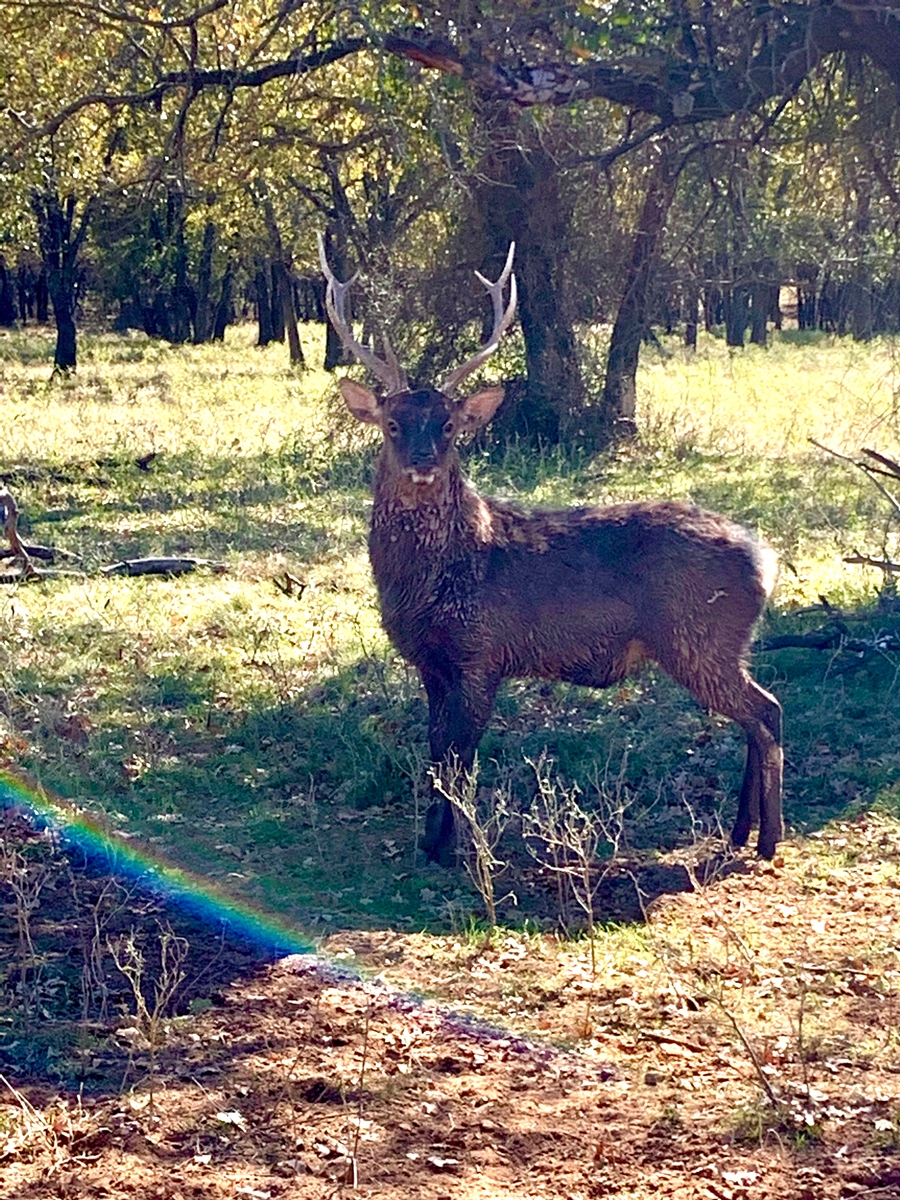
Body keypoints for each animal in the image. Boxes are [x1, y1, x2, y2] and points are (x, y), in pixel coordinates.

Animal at [316, 236, 782, 873]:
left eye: (449, 427)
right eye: (392, 423)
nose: (423, 462)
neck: (432, 582)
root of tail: (767, 561)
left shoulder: (481, 654)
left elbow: (460, 759)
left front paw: (461, 852)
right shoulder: (431, 664)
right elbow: (436, 754)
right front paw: (430, 844)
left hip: (699, 637)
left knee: (767, 713)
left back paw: (770, 840)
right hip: (723, 644)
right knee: (755, 718)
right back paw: (739, 833)